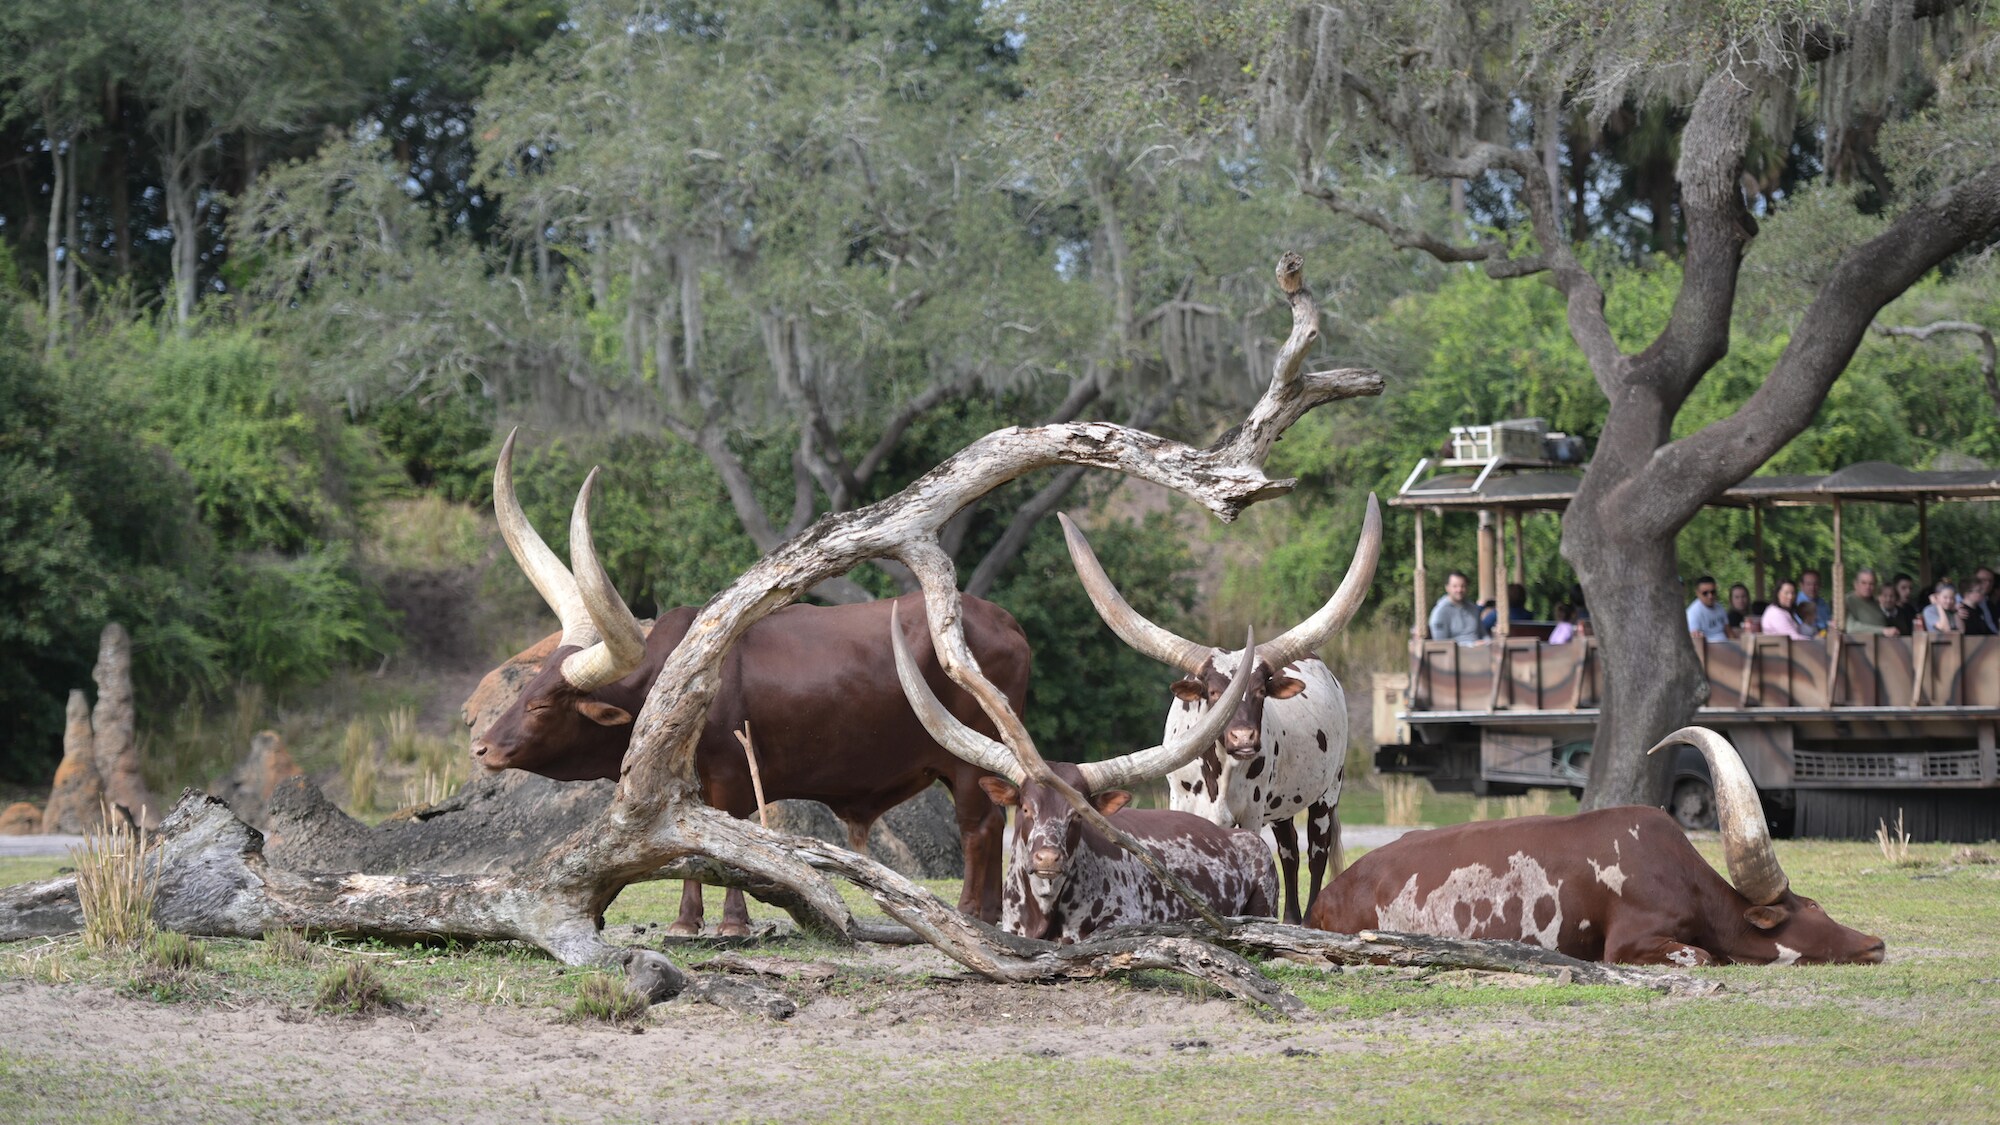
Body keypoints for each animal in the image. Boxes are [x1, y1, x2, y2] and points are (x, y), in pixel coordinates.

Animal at [474, 428, 1024, 928]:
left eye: (542, 704)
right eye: (524, 690)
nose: (482, 748)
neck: (663, 683)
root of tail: (1006, 622)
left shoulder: (732, 775)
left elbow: (729, 843)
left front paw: (732, 921)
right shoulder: (681, 792)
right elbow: (690, 848)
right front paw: (686, 922)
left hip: (967, 757)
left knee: (978, 827)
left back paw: (971, 913)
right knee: (996, 821)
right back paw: (994, 914)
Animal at [1064, 490, 1376, 920]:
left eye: (1261, 690)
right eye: (1212, 693)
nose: (1244, 738)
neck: (1219, 774)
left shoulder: (1251, 813)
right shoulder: (1184, 804)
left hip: (1328, 792)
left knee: (1315, 856)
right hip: (1283, 807)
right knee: (1289, 853)